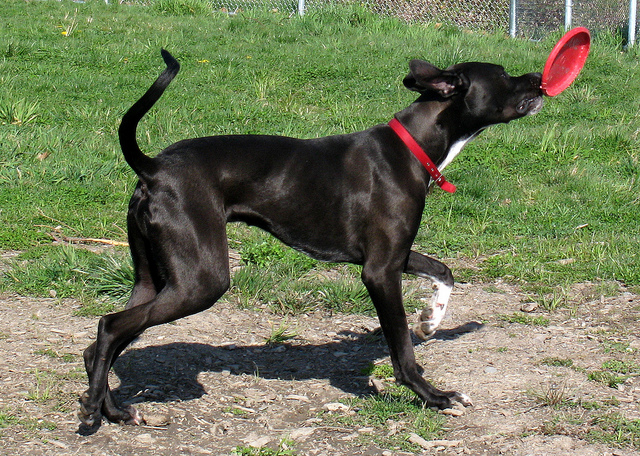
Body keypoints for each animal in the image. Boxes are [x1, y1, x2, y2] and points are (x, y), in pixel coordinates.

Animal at [79, 50, 543, 427]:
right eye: (503, 74)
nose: (539, 76)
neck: (412, 146)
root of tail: (154, 168)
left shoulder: (394, 254)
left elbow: (444, 271)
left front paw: (431, 320)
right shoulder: (380, 271)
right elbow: (401, 350)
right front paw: (434, 396)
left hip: (153, 278)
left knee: (102, 341)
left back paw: (110, 410)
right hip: (200, 282)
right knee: (109, 327)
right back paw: (96, 415)